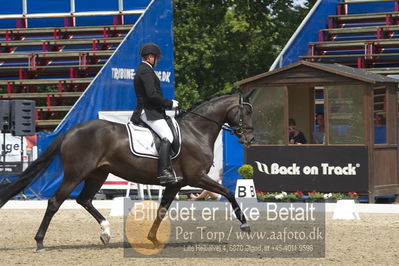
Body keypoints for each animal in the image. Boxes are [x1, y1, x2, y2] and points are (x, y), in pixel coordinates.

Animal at [0, 92, 256, 251]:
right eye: (246, 113)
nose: (251, 139)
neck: (196, 130)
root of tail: (71, 131)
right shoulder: (197, 177)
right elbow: (228, 193)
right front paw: (245, 226)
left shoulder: (175, 184)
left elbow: (162, 210)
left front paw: (152, 239)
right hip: (76, 173)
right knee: (55, 202)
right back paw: (40, 242)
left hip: (98, 173)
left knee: (84, 199)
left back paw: (105, 232)